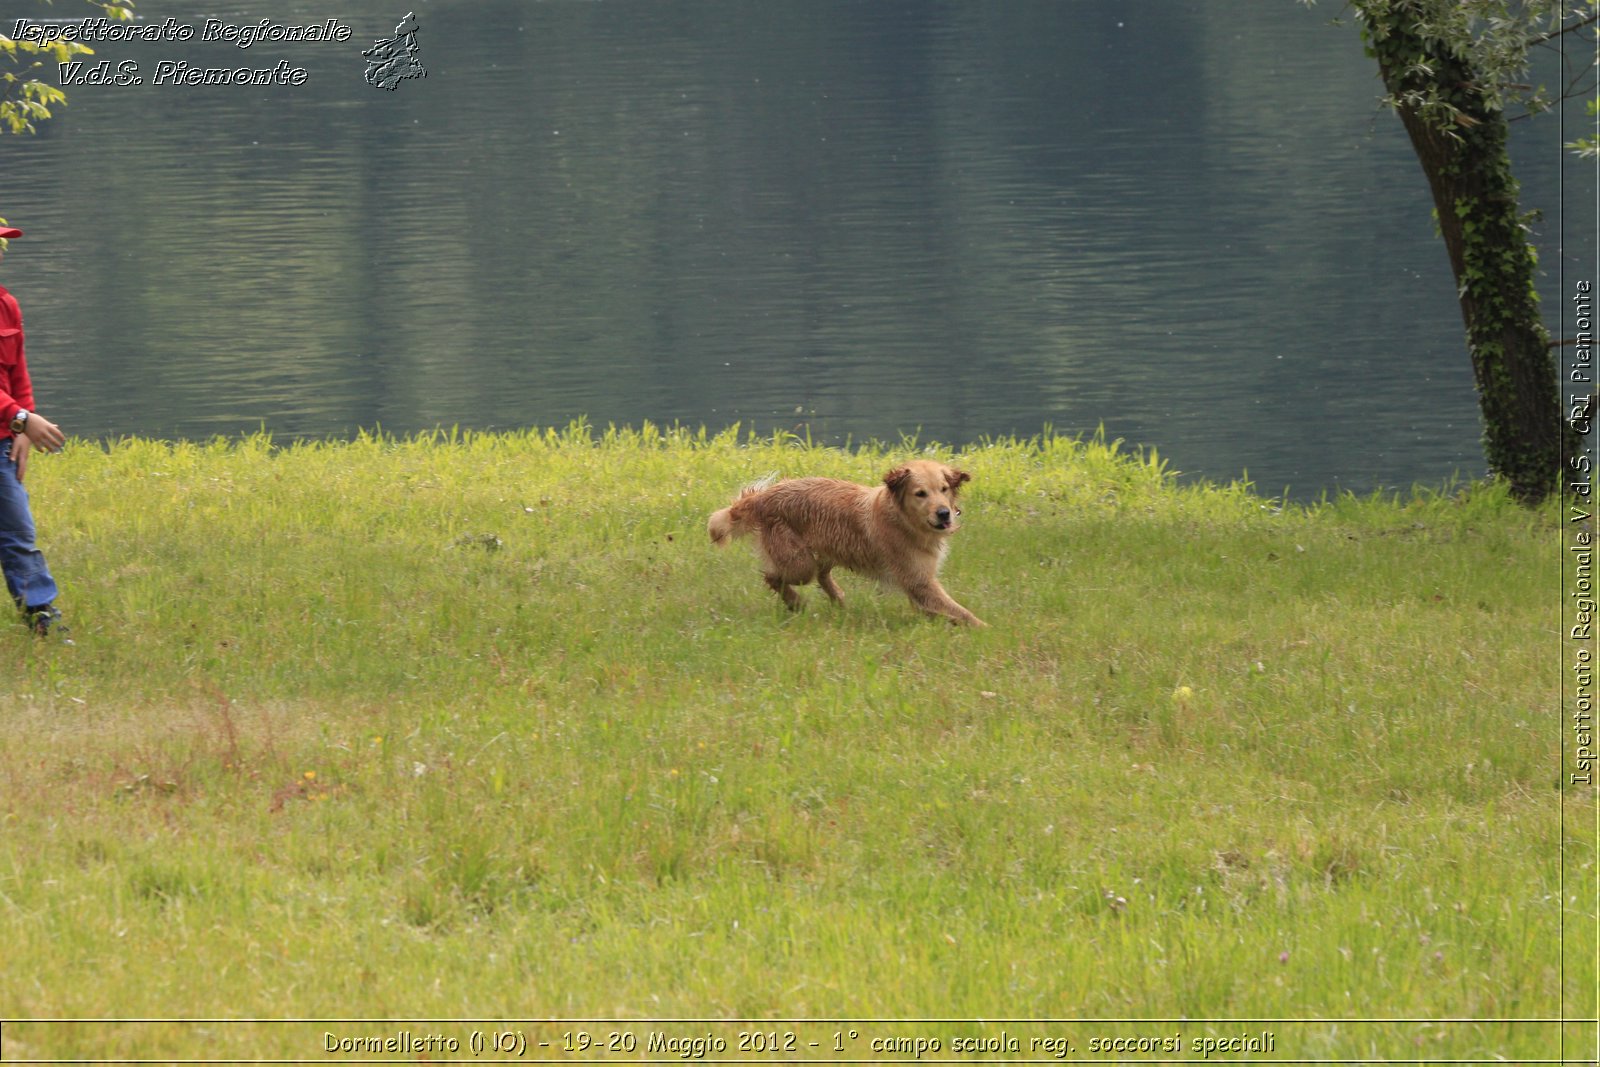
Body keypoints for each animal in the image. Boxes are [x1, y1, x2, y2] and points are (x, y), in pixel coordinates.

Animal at [707, 460, 979, 627]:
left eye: (944, 489)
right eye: (920, 493)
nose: (944, 513)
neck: (902, 519)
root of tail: (763, 496)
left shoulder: (920, 583)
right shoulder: (919, 582)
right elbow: (963, 612)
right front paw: (982, 629)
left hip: (827, 550)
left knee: (821, 574)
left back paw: (838, 599)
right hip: (799, 564)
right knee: (774, 576)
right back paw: (796, 602)